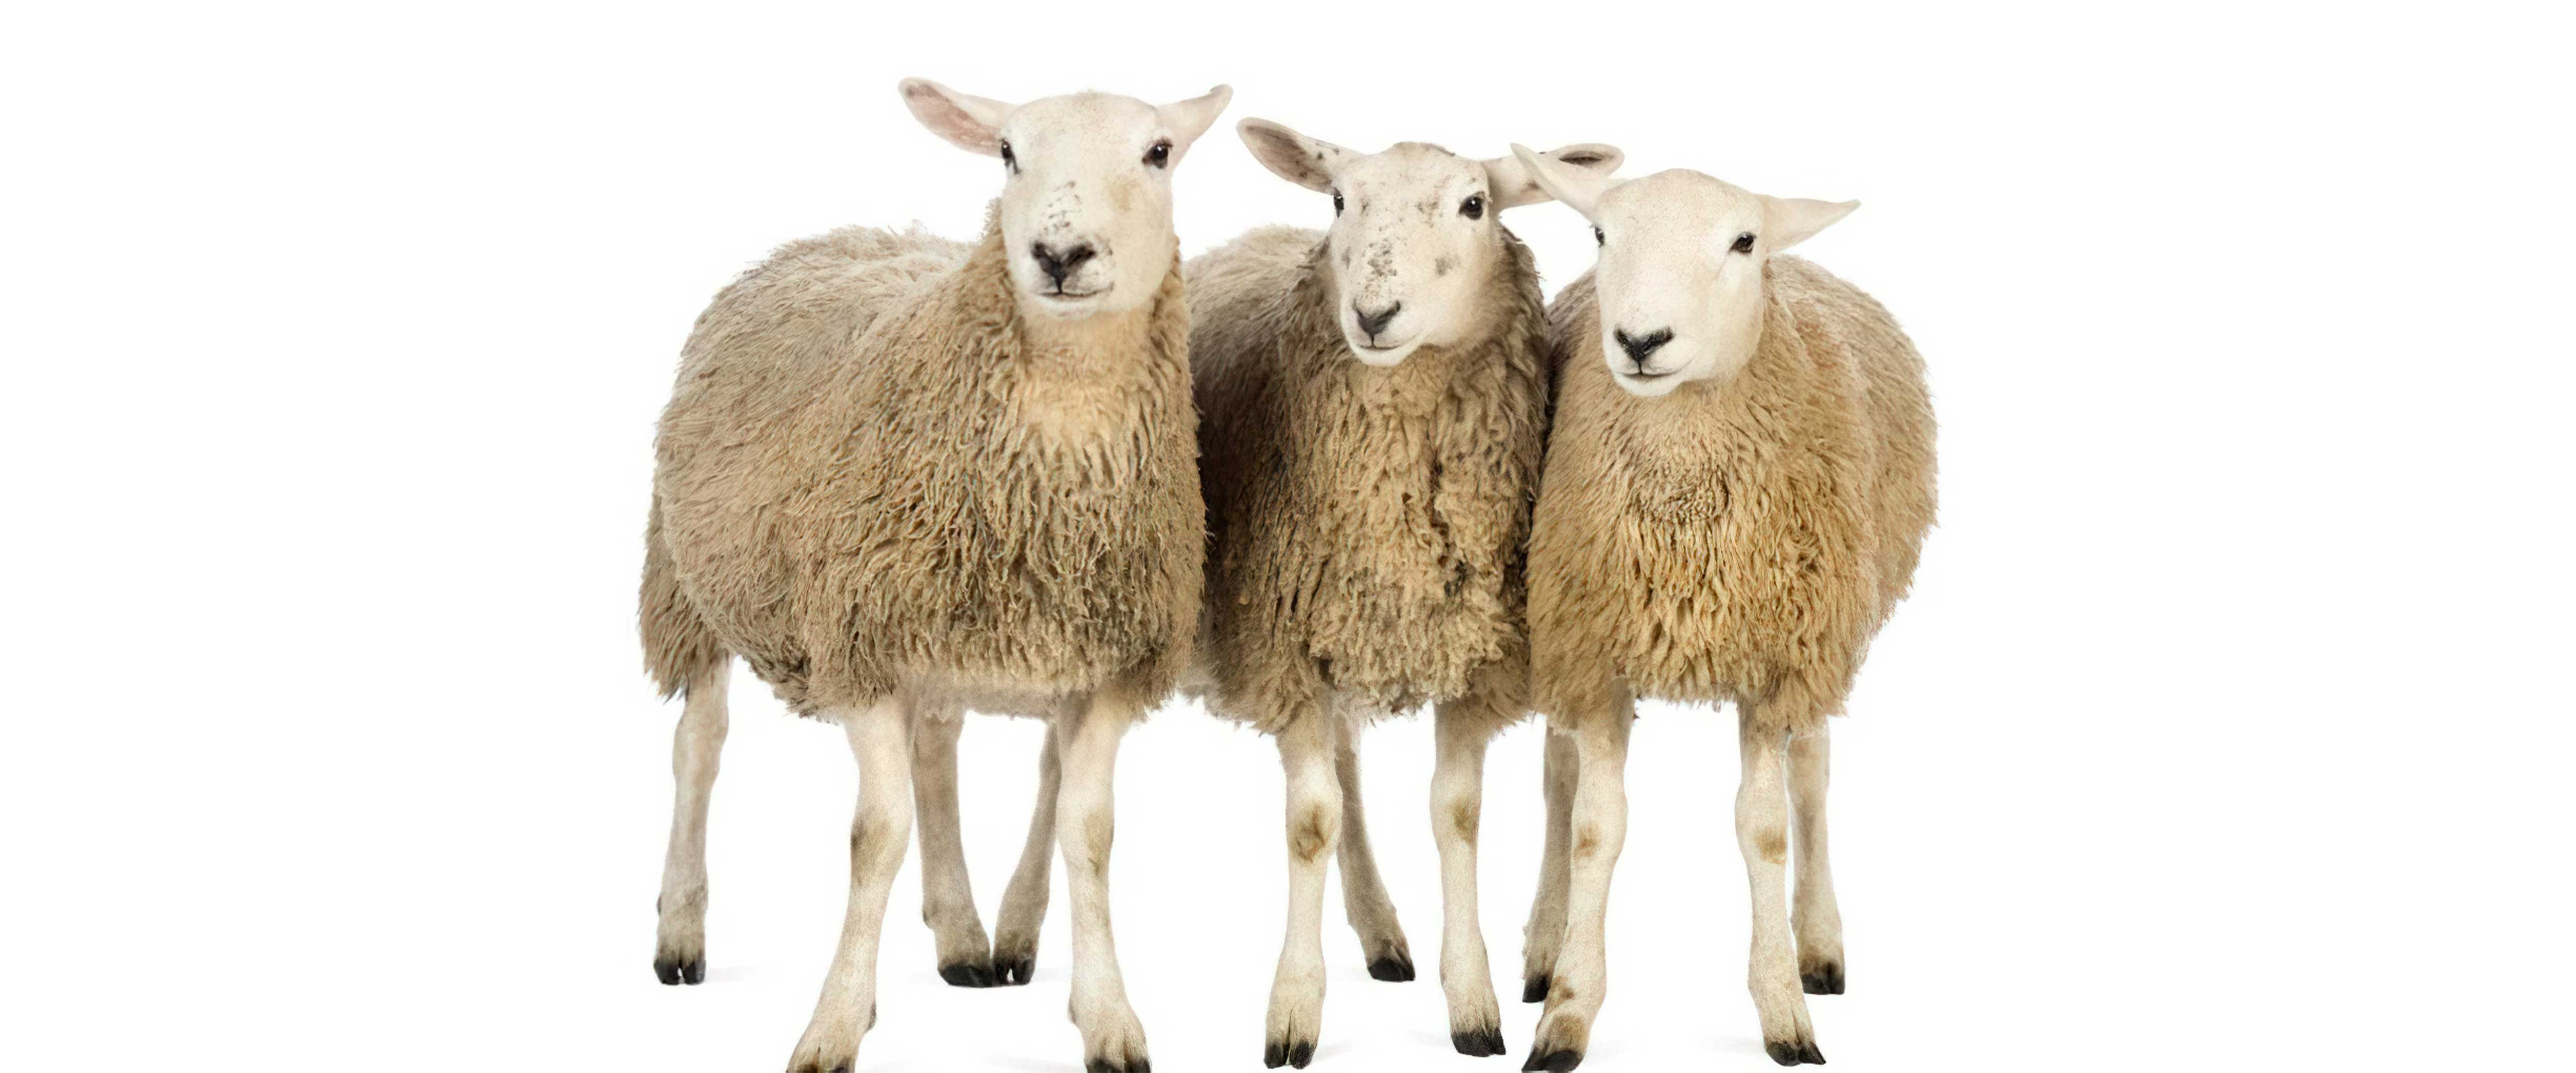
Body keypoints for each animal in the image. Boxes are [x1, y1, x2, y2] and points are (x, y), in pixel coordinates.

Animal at [639, 78, 1232, 1073]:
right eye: (1006, 151)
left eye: (1157, 152)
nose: (1059, 254)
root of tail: (831, 235)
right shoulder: (858, 641)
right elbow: (875, 835)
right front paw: (834, 1022)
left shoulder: (1108, 663)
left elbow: (1088, 832)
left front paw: (1109, 1016)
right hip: (695, 581)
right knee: (700, 746)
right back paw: (681, 930)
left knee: (937, 747)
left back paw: (961, 935)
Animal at [1182, 120, 1621, 1067]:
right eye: (1340, 199)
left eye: (1474, 204)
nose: (1373, 314)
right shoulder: (1291, 649)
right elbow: (1311, 820)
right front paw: (1293, 1010)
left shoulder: (1473, 653)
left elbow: (1457, 814)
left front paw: (1474, 1002)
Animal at [1503, 149, 1937, 1071]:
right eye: (1601, 233)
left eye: (1742, 241)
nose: (1640, 341)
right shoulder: (1594, 648)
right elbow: (1593, 824)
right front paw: (1567, 1008)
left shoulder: (1777, 658)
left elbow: (1765, 826)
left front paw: (1783, 1008)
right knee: (1557, 777)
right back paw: (1544, 943)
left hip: (1824, 635)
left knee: (1814, 774)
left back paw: (1819, 947)